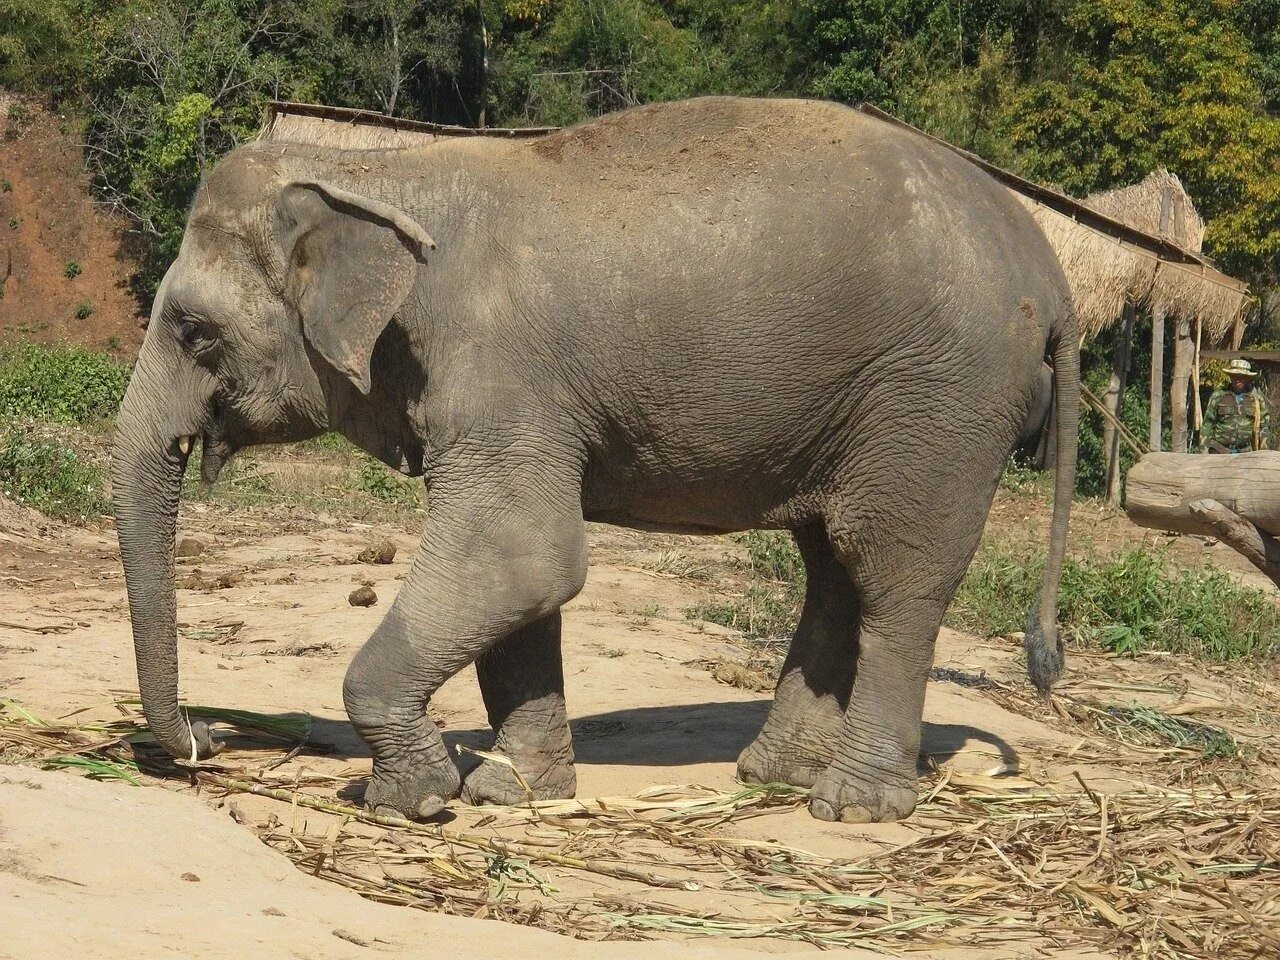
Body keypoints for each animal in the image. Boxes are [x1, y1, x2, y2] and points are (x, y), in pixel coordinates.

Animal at [110, 94, 1075, 824]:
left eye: (192, 330)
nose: (207, 739)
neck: (383, 173)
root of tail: (1053, 274)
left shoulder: (494, 372)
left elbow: (525, 554)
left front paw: (414, 800)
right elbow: (522, 585)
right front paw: (513, 792)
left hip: (940, 401)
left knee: (896, 577)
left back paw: (850, 806)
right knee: (833, 567)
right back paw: (771, 777)